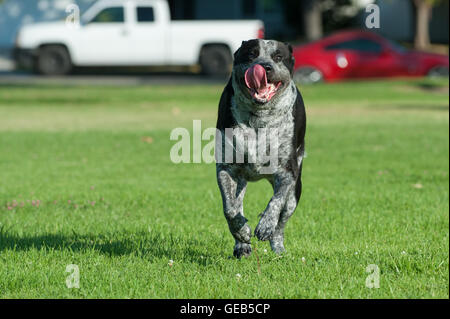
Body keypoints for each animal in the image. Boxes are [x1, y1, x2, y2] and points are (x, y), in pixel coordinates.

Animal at [214, 39, 306, 260]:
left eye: (278, 57)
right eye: (251, 55)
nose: (265, 67)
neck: (259, 116)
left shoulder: (287, 172)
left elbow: (276, 202)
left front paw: (265, 225)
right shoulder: (226, 168)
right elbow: (230, 209)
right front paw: (243, 232)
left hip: (295, 192)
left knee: (282, 219)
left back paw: (278, 247)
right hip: (241, 181)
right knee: (237, 204)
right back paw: (242, 246)